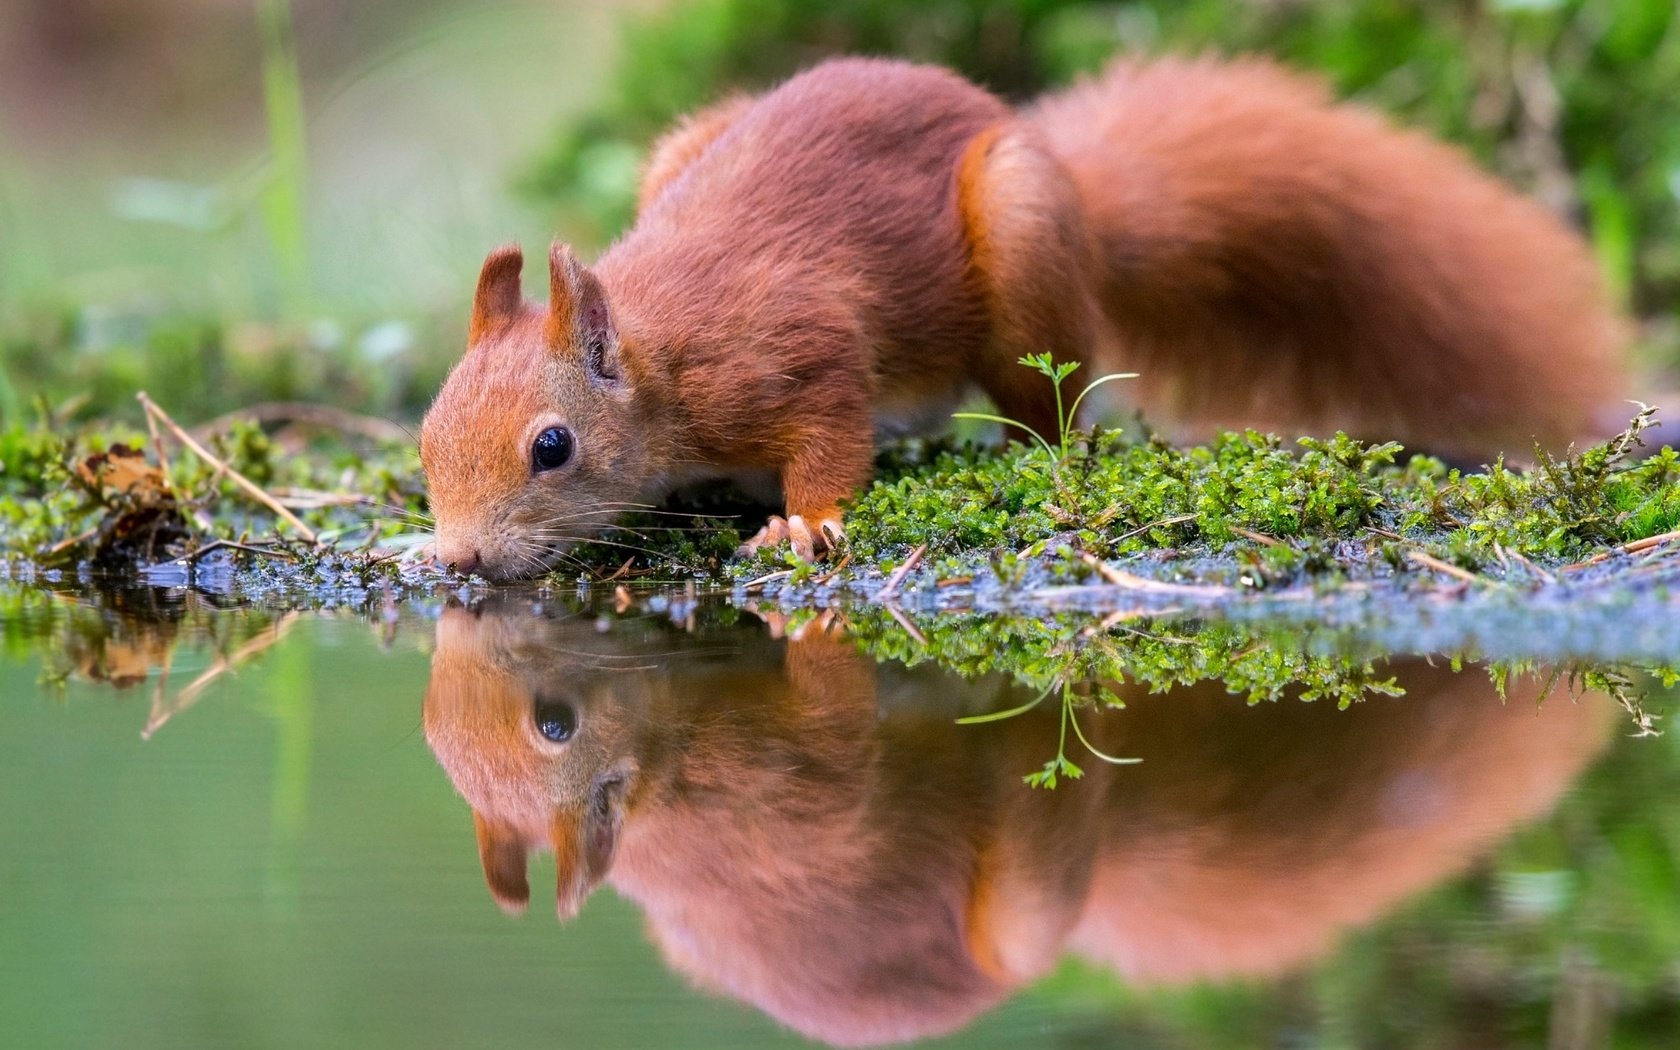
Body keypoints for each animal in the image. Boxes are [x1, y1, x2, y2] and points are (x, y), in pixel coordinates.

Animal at [420, 53, 1626, 577]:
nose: (462, 560)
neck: (661, 356)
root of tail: (1078, 189)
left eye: (553, 447)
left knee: (1056, 408)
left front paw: (807, 523)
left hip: (1023, 249)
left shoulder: (796, 352)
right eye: (427, 437)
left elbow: (830, 435)